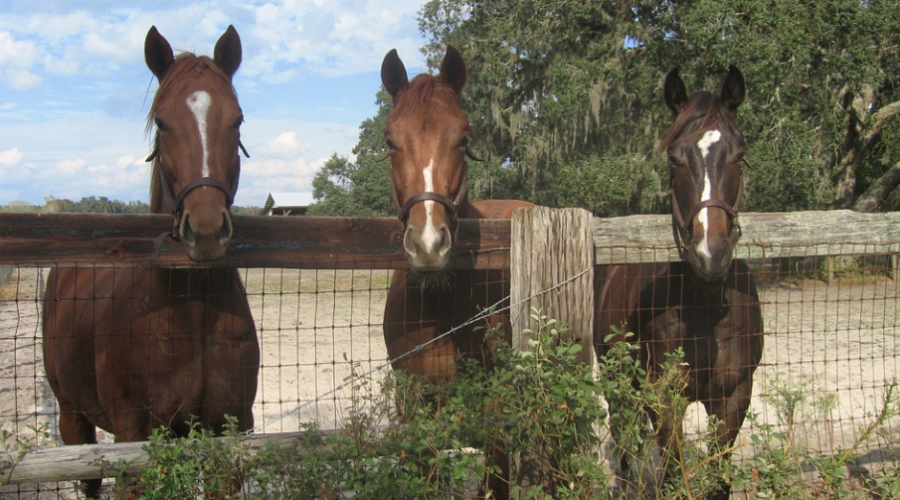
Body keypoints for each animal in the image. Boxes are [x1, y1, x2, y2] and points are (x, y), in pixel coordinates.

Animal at [42, 26, 260, 496]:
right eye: (161, 121)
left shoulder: (229, 434)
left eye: (237, 120)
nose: (206, 229)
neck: (190, 312)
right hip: (73, 419)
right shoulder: (136, 440)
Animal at [596, 66, 764, 500]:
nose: (710, 254)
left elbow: (718, 478)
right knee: (623, 440)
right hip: (617, 378)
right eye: (674, 159)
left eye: (739, 154)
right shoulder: (664, 397)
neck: (704, 308)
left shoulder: (734, 397)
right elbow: (673, 474)